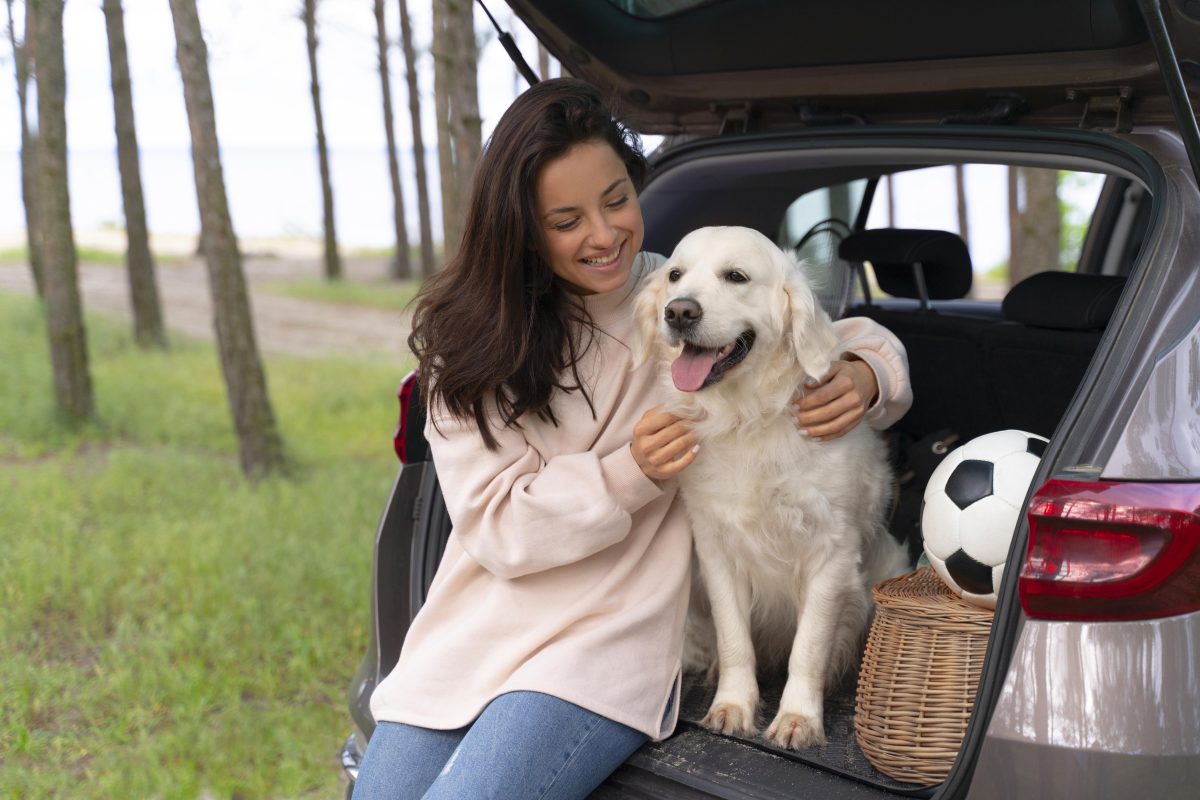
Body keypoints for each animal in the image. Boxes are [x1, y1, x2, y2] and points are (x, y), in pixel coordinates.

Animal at [633, 224, 902, 753]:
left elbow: (809, 648)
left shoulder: (830, 553)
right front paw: (733, 707)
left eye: (736, 276)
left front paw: (798, 718)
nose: (679, 311)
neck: (748, 417)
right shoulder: (716, 549)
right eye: (675, 275)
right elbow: (735, 639)